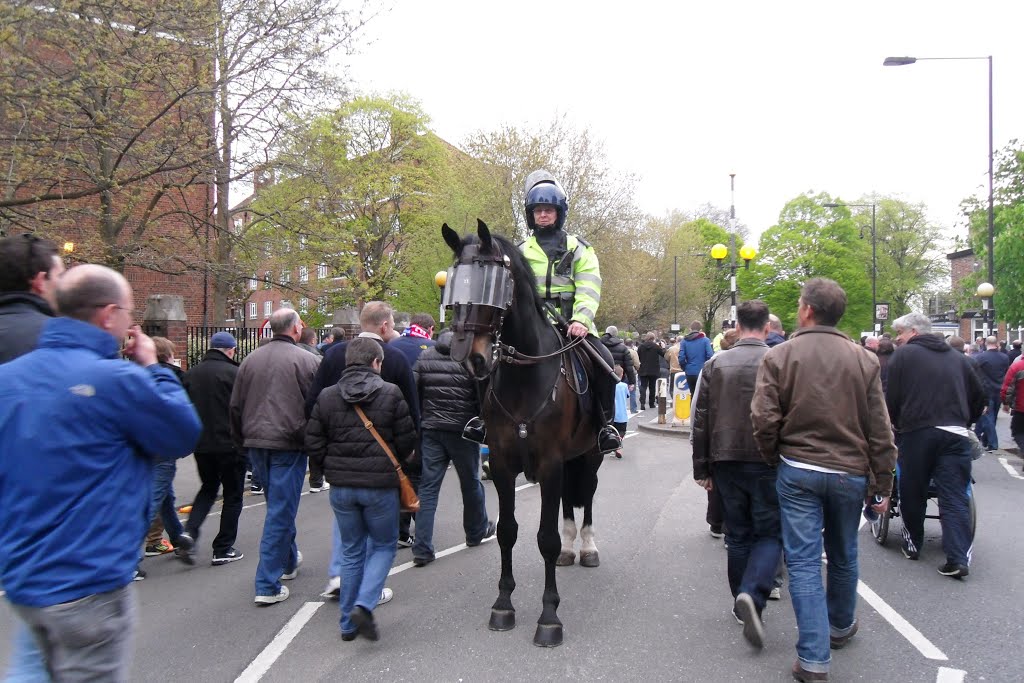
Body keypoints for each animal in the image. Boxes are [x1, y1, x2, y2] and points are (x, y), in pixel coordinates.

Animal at [438, 220, 598, 651]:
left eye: (495, 283)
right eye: (455, 282)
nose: (469, 357)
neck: (525, 377)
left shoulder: (550, 463)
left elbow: (546, 539)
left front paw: (549, 616)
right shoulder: (504, 464)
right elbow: (508, 532)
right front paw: (503, 605)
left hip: (591, 455)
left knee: (588, 497)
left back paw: (587, 546)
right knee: (569, 502)